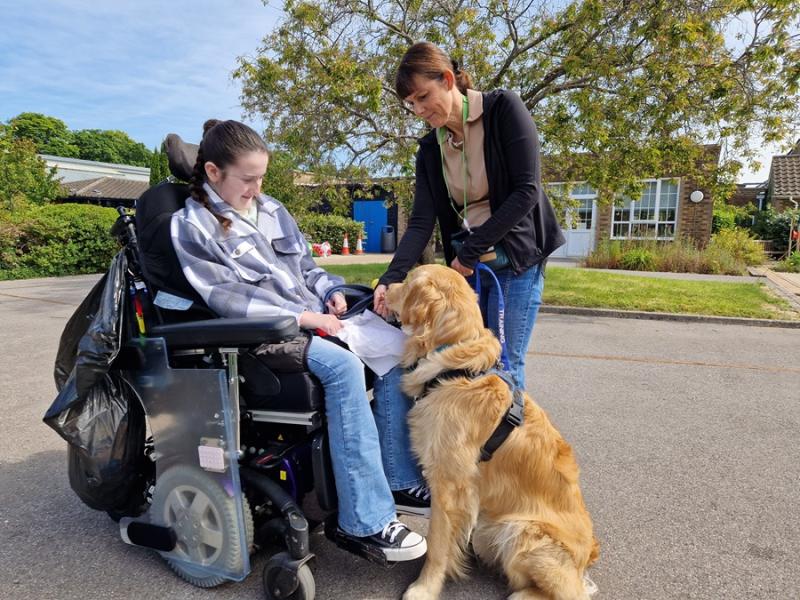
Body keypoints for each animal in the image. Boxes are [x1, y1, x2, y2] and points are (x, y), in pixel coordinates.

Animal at [388, 264, 600, 596]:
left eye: (408, 282)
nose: (383, 288)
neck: (454, 365)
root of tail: (586, 558)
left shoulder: (448, 482)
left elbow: (437, 544)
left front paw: (425, 588)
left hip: (520, 530)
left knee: (569, 593)